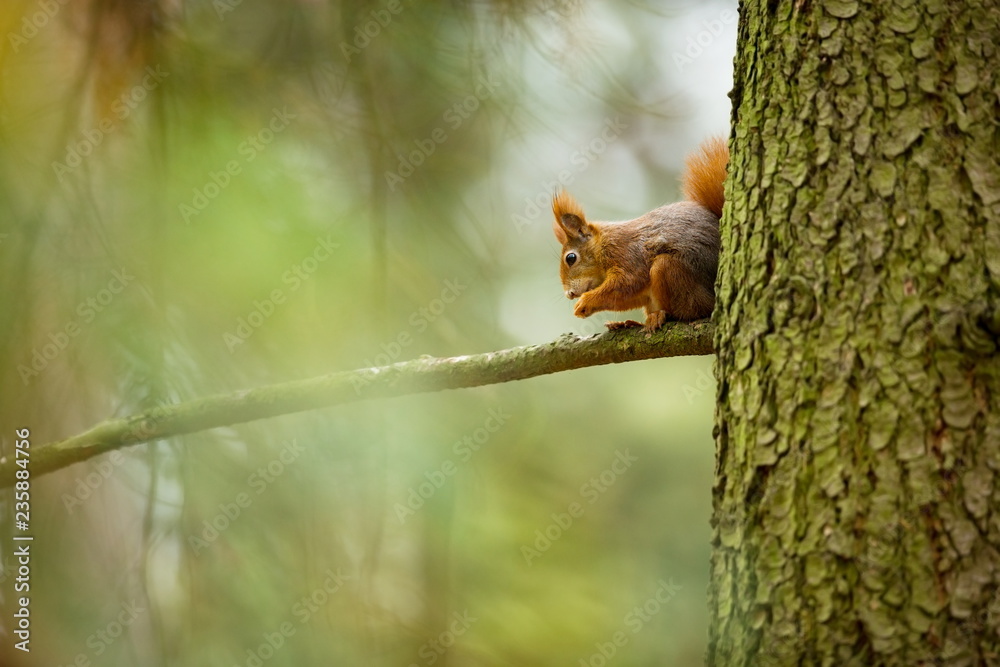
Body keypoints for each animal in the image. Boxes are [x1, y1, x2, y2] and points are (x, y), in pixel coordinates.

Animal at [552, 137, 732, 332]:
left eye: (571, 258)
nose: (569, 294)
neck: (601, 246)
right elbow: (627, 297)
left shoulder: (625, 253)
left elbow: (628, 282)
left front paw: (586, 302)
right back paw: (628, 323)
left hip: (670, 271)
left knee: (693, 310)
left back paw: (660, 316)